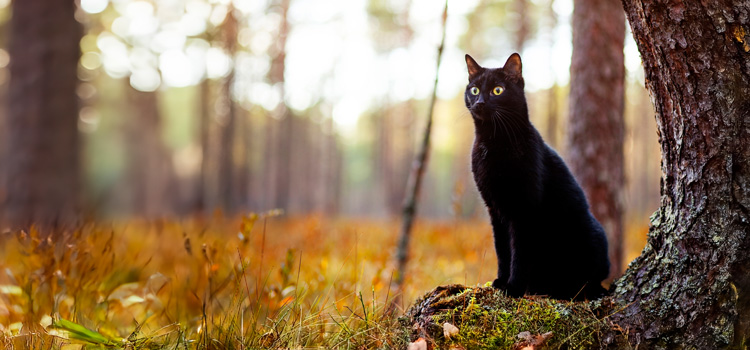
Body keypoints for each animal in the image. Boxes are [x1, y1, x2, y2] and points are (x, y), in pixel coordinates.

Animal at [468, 53, 612, 300]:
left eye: (498, 90)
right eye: (474, 90)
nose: (480, 103)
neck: (493, 140)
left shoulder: (525, 209)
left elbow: (520, 253)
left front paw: (514, 288)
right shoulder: (495, 209)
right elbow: (503, 250)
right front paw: (501, 281)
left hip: (591, 235)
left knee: (588, 281)